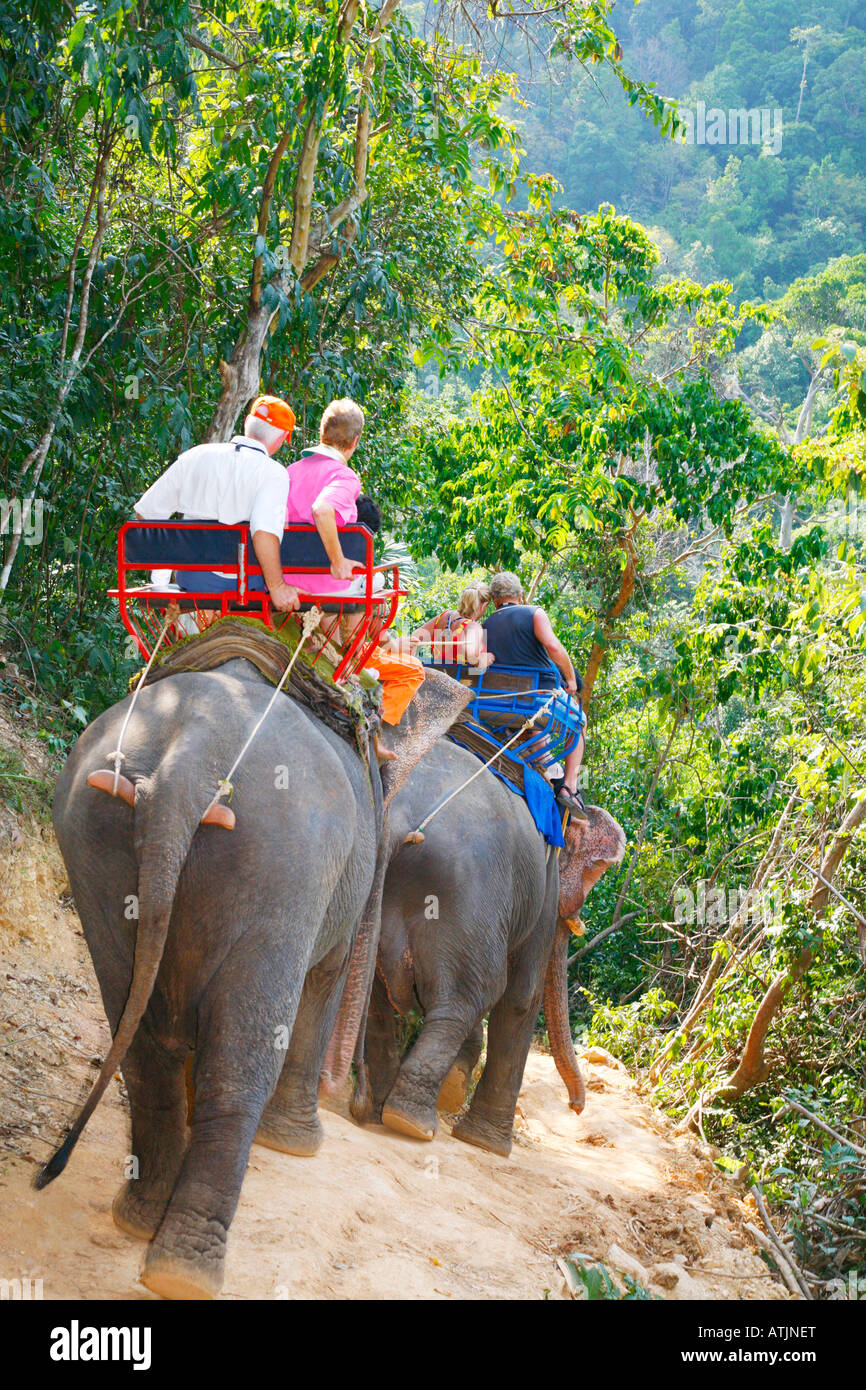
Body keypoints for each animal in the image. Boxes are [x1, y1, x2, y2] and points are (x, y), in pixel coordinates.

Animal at [40, 653, 467, 1301]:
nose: (353, 1101)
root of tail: (189, 756)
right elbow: (325, 977)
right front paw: (298, 1146)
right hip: (284, 867)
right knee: (240, 1062)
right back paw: (184, 1271)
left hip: (93, 841)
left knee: (138, 1043)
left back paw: (141, 1221)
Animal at [328, 739, 625, 1162]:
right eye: (595, 872)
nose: (577, 1107)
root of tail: (398, 816)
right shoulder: (545, 888)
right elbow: (521, 996)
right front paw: (487, 1142)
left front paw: (456, 1084)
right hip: (463, 892)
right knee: (474, 992)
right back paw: (412, 1122)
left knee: (377, 993)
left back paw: (375, 1110)